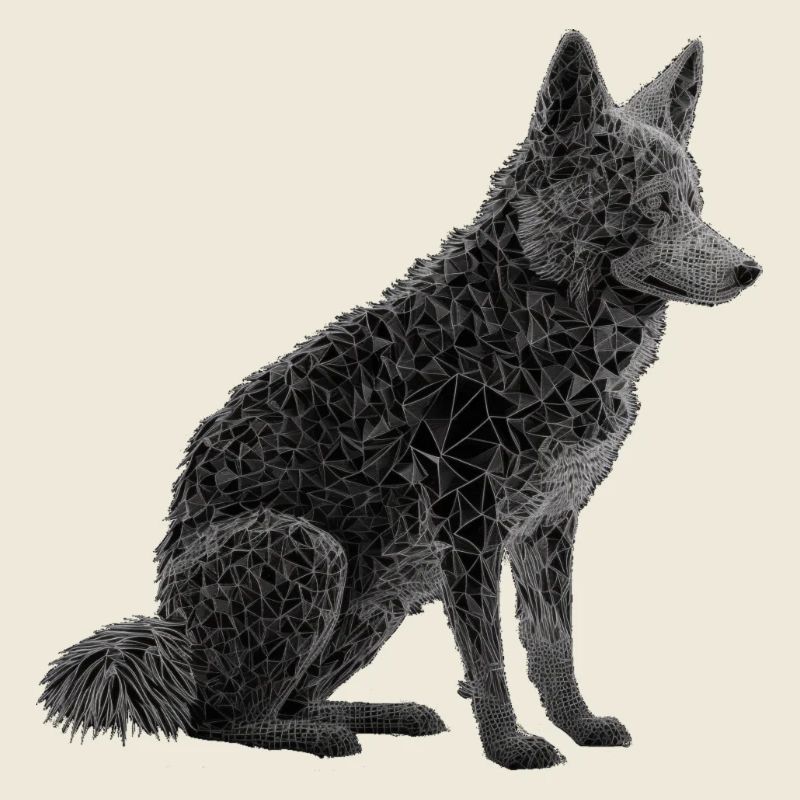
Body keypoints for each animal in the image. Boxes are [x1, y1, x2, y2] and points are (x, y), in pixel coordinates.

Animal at [40, 31, 762, 769]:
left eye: (697, 203)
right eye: (656, 204)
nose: (752, 270)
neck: (534, 322)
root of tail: (167, 640)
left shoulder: (549, 522)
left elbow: (552, 643)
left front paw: (579, 726)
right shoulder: (468, 525)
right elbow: (488, 655)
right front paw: (510, 747)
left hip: (382, 596)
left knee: (282, 697)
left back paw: (377, 713)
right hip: (310, 549)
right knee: (217, 717)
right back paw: (318, 737)